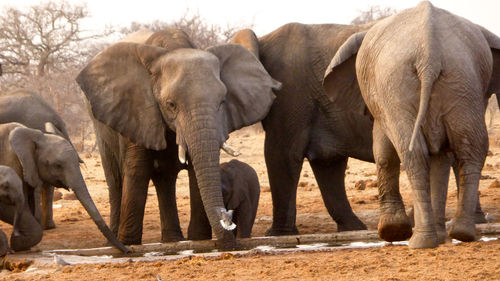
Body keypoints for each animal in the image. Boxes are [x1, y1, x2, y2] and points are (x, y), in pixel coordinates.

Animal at [0, 122, 129, 252]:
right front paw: (16, 243)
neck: (36, 135)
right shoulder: (12, 163)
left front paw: (20, 243)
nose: (128, 251)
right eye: (58, 165)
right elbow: (10, 207)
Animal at [78, 29, 282, 247]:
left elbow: (195, 172)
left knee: (165, 180)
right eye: (171, 105)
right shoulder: (136, 111)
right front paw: (130, 244)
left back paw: (172, 240)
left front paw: (199, 240)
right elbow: (137, 171)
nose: (227, 216)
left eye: (222, 102)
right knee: (116, 180)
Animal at [324, 1, 500, 247]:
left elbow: (383, 152)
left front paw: (392, 232)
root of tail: (429, 52)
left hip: (397, 83)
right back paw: (462, 234)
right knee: (470, 149)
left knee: (413, 152)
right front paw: (441, 238)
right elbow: (440, 158)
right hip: (462, 80)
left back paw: (419, 241)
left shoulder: (382, 99)